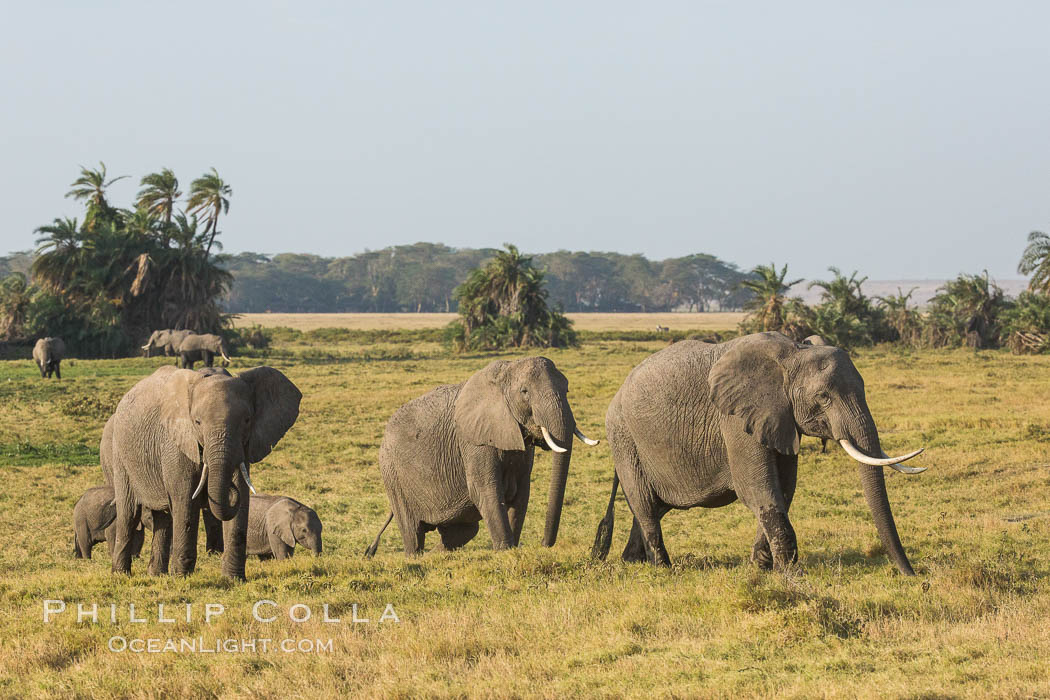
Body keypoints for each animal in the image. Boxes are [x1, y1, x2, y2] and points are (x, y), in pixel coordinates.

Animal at [106, 361, 300, 579]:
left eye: (247, 420)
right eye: (197, 422)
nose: (229, 489)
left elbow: (241, 501)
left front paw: (233, 579)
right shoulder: (177, 442)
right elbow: (185, 499)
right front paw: (181, 578)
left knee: (162, 519)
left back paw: (156, 575)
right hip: (120, 454)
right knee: (129, 514)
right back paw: (121, 574)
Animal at [365, 356, 600, 558]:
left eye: (567, 389)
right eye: (524, 392)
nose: (544, 544)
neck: (505, 374)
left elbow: (521, 494)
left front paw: (513, 548)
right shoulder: (473, 441)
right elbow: (486, 489)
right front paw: (506, 551)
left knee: (461, 532)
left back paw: (436, 556)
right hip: (393, 476)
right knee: (414, 533)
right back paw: (416, 557)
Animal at [596, 333, 932, 575]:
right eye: (823, 397)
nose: (912, 575)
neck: (792, 353)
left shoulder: (782, 419)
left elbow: (782, 489)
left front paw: (761, 568)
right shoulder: (734, 420)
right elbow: (757, 488)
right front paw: (790, 574)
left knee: (650, 506)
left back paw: (632, 562)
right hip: (624, 439)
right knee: (645, 505)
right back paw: (664, 569)